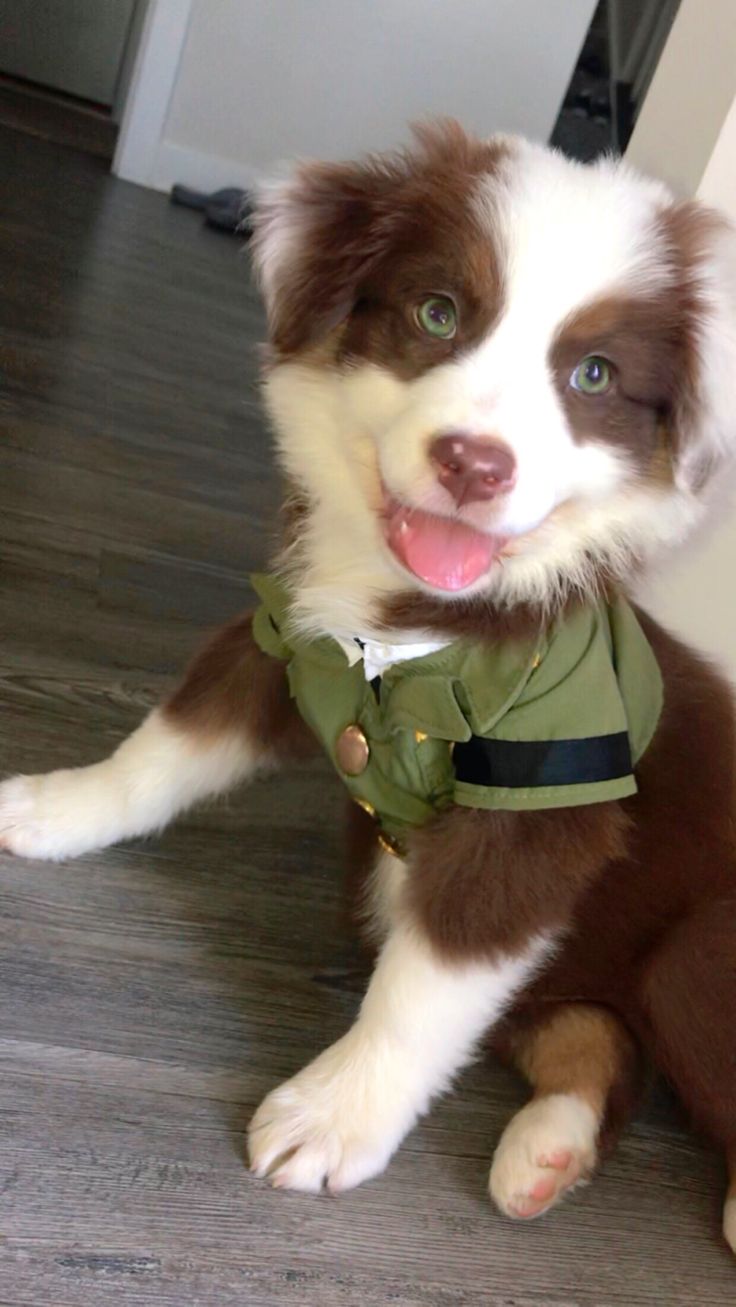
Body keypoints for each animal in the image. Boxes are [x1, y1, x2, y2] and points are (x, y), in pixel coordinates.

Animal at [1, 124, 736, 1254]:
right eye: (439, 313)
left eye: (593, 374)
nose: (474, 462)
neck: (416, 628)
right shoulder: (284, 637)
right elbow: (166, 743)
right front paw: (56, 804)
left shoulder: (541, 797)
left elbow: (426, 985)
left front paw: (331, 1116)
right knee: (601, 1040)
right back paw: (546, 1149)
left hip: (696, 945)